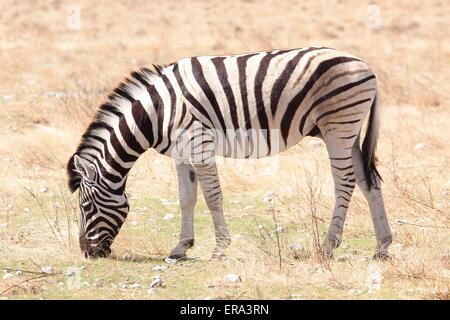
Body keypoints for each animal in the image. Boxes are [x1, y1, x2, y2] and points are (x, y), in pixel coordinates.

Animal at [67, 47, 394, 260]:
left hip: (337, 126)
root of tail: (366, 66)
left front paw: (220, 248)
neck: (156, 113)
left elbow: (212, 197)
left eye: (86, 206)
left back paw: (328, 246)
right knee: (369, 182)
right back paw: (382, 246)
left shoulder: (199, 143)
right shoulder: (181, 153)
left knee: (345, 184)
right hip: (349, 132)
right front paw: (181, 248)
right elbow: (186, 198)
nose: (87, 253)